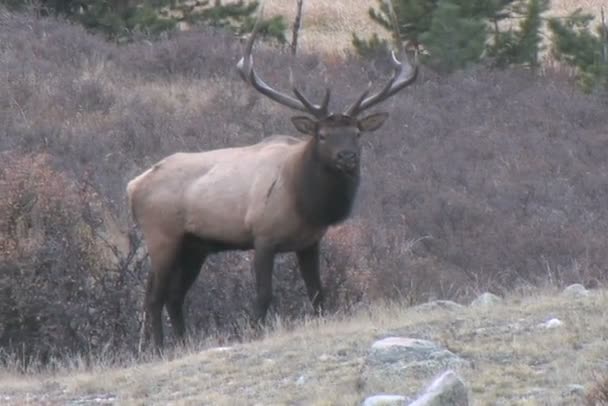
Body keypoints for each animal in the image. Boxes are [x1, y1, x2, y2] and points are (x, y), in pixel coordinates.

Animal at [126, 0, 416, 350]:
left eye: (357, 133)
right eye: (322, 135)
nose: (347, 157)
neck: (306, 202)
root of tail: (133, 185)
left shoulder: (309, 242)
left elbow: (318, 294)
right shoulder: (262, 237)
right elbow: (264, 296)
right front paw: (254, 331)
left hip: (195, 245)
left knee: (174, 297)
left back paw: (182, 343)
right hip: (162, 236)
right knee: (154, 298)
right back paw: (159, 348)